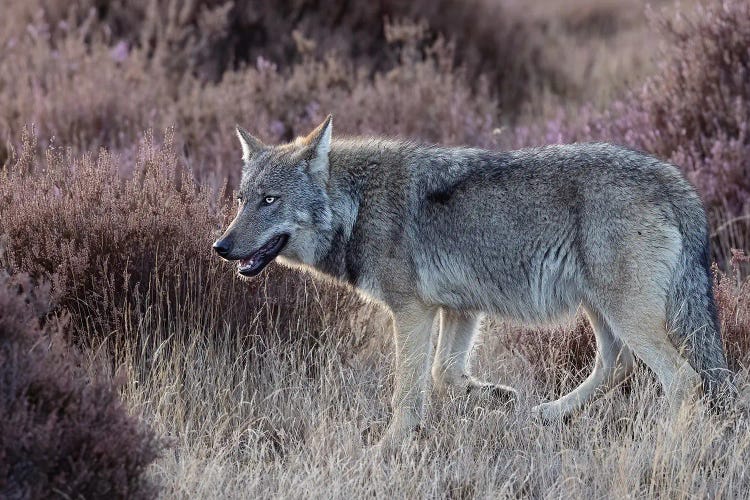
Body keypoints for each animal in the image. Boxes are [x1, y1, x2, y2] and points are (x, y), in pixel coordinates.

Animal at [212, 116, 736, 446]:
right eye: (242, 200)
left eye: (270, 200)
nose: (220, 246)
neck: (357, 204)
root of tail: (676, 182)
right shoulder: (459, 310)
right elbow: (444, 376)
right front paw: (496, 398)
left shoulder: (413, 312)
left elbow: (408, 394)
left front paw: (385, 449)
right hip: (602, 311)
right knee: (618, 364)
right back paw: (546, 413)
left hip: (626, 315)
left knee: (684, 379)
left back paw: (664, 444)